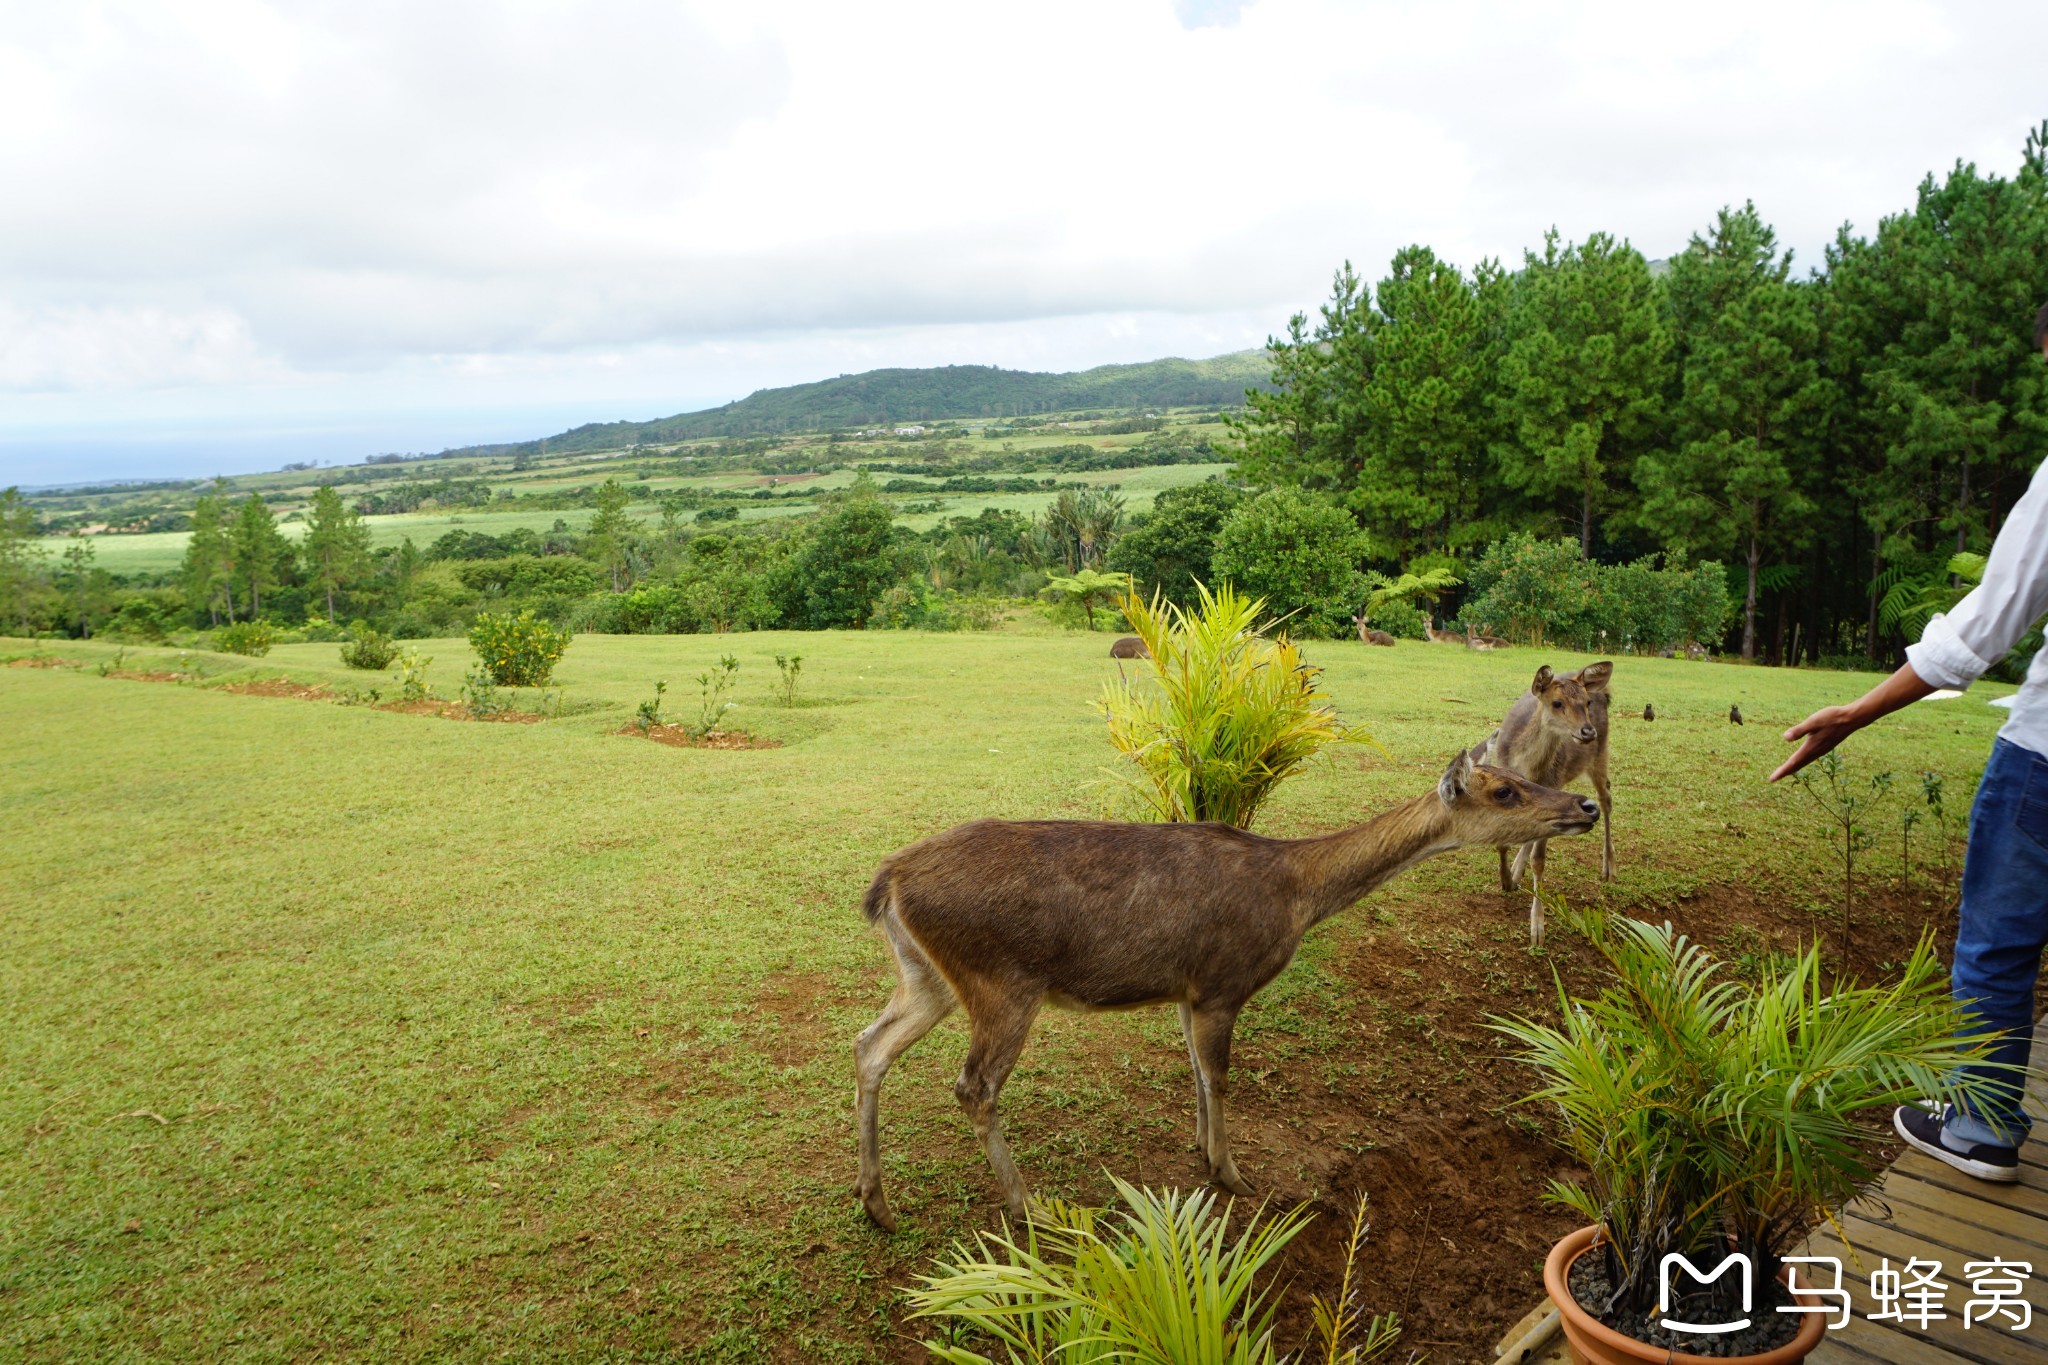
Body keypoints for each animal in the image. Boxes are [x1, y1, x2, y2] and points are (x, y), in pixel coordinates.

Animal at [847, 753, 1597, 1236]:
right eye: (1503, 792)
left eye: (1524, 778)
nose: (1585, 805)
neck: (1299, 894)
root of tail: (888, 883)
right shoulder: (1224, 982)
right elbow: (1221, 1074)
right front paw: (1233, 1174)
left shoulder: (1189, 988)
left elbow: (1197, 1072)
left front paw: (1205, 1154)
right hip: (1002, 981)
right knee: (973, 1085)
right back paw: (1028, 1207)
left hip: (927, 975)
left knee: (868, 1044)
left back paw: (877, 1203)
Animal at [1474, 663, 1613, 949]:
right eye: (1557, 703)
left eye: (1586, 702)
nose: (1587, 732)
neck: (1529, 769)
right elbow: (1503, 841)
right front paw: (1506, 880)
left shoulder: (1554, 786)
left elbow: (1540, 859)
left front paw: (1537, 930)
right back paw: (1517, 873)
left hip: (1600, 754)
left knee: (1607, 798)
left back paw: (1609, 870)